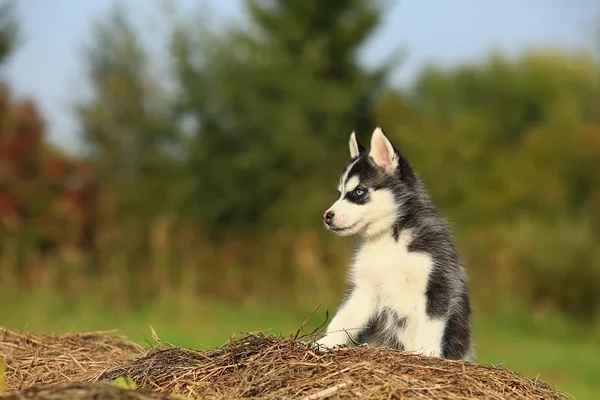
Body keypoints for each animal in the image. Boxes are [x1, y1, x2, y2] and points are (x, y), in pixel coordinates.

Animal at [316, 126, 476, 360]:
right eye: (340, 193)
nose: (327, 216)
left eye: (358, 191)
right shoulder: (365, 289)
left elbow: (430, 327)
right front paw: (322, 343)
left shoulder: (437, 285)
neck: (389, 238)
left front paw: (427, 354)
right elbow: (342, 320)